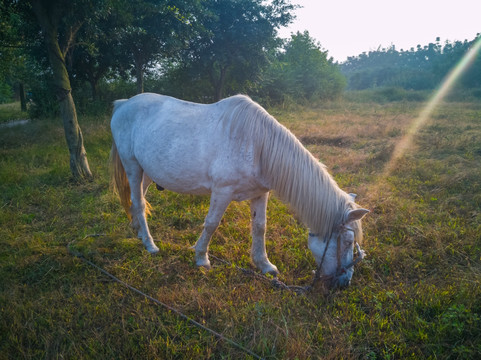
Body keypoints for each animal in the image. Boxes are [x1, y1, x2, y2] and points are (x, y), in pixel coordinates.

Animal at [110, 93, 370, 286]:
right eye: (348, 241)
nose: (344, 282)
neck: (256, 145)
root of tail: (123, 104)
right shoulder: (222, 192)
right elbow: (212, 224)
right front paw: (201, 258)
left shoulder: (260, 193)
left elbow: (260, 227)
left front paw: (264, 265)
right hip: (132, 166)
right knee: (139, 203)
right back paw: (150, 245)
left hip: (146, 171)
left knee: (137, 200)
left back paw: (139, 232)